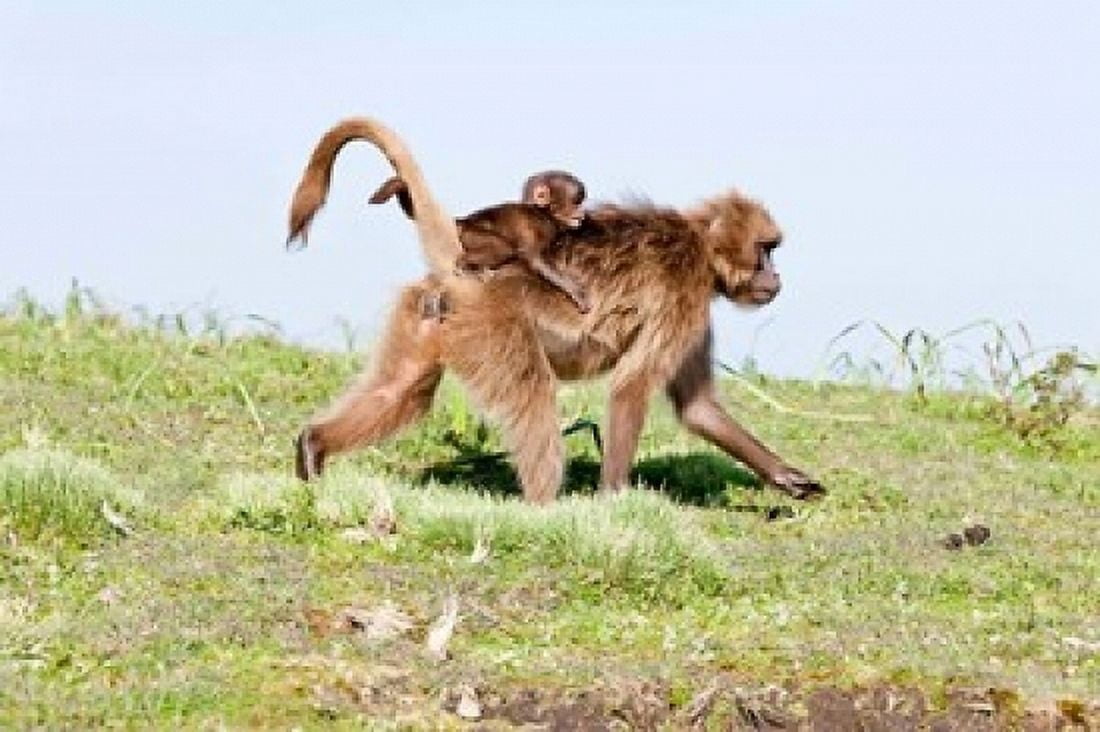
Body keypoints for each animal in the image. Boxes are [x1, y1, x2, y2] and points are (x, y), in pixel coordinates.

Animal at [368, 170, 591, 312]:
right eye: (575, 202)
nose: (580, 214)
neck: (545, 214)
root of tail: (463, 220)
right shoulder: (531, 226)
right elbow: (535, 259)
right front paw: (577, 292)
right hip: (471, 235)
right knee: (502, 248)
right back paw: (465, 266)